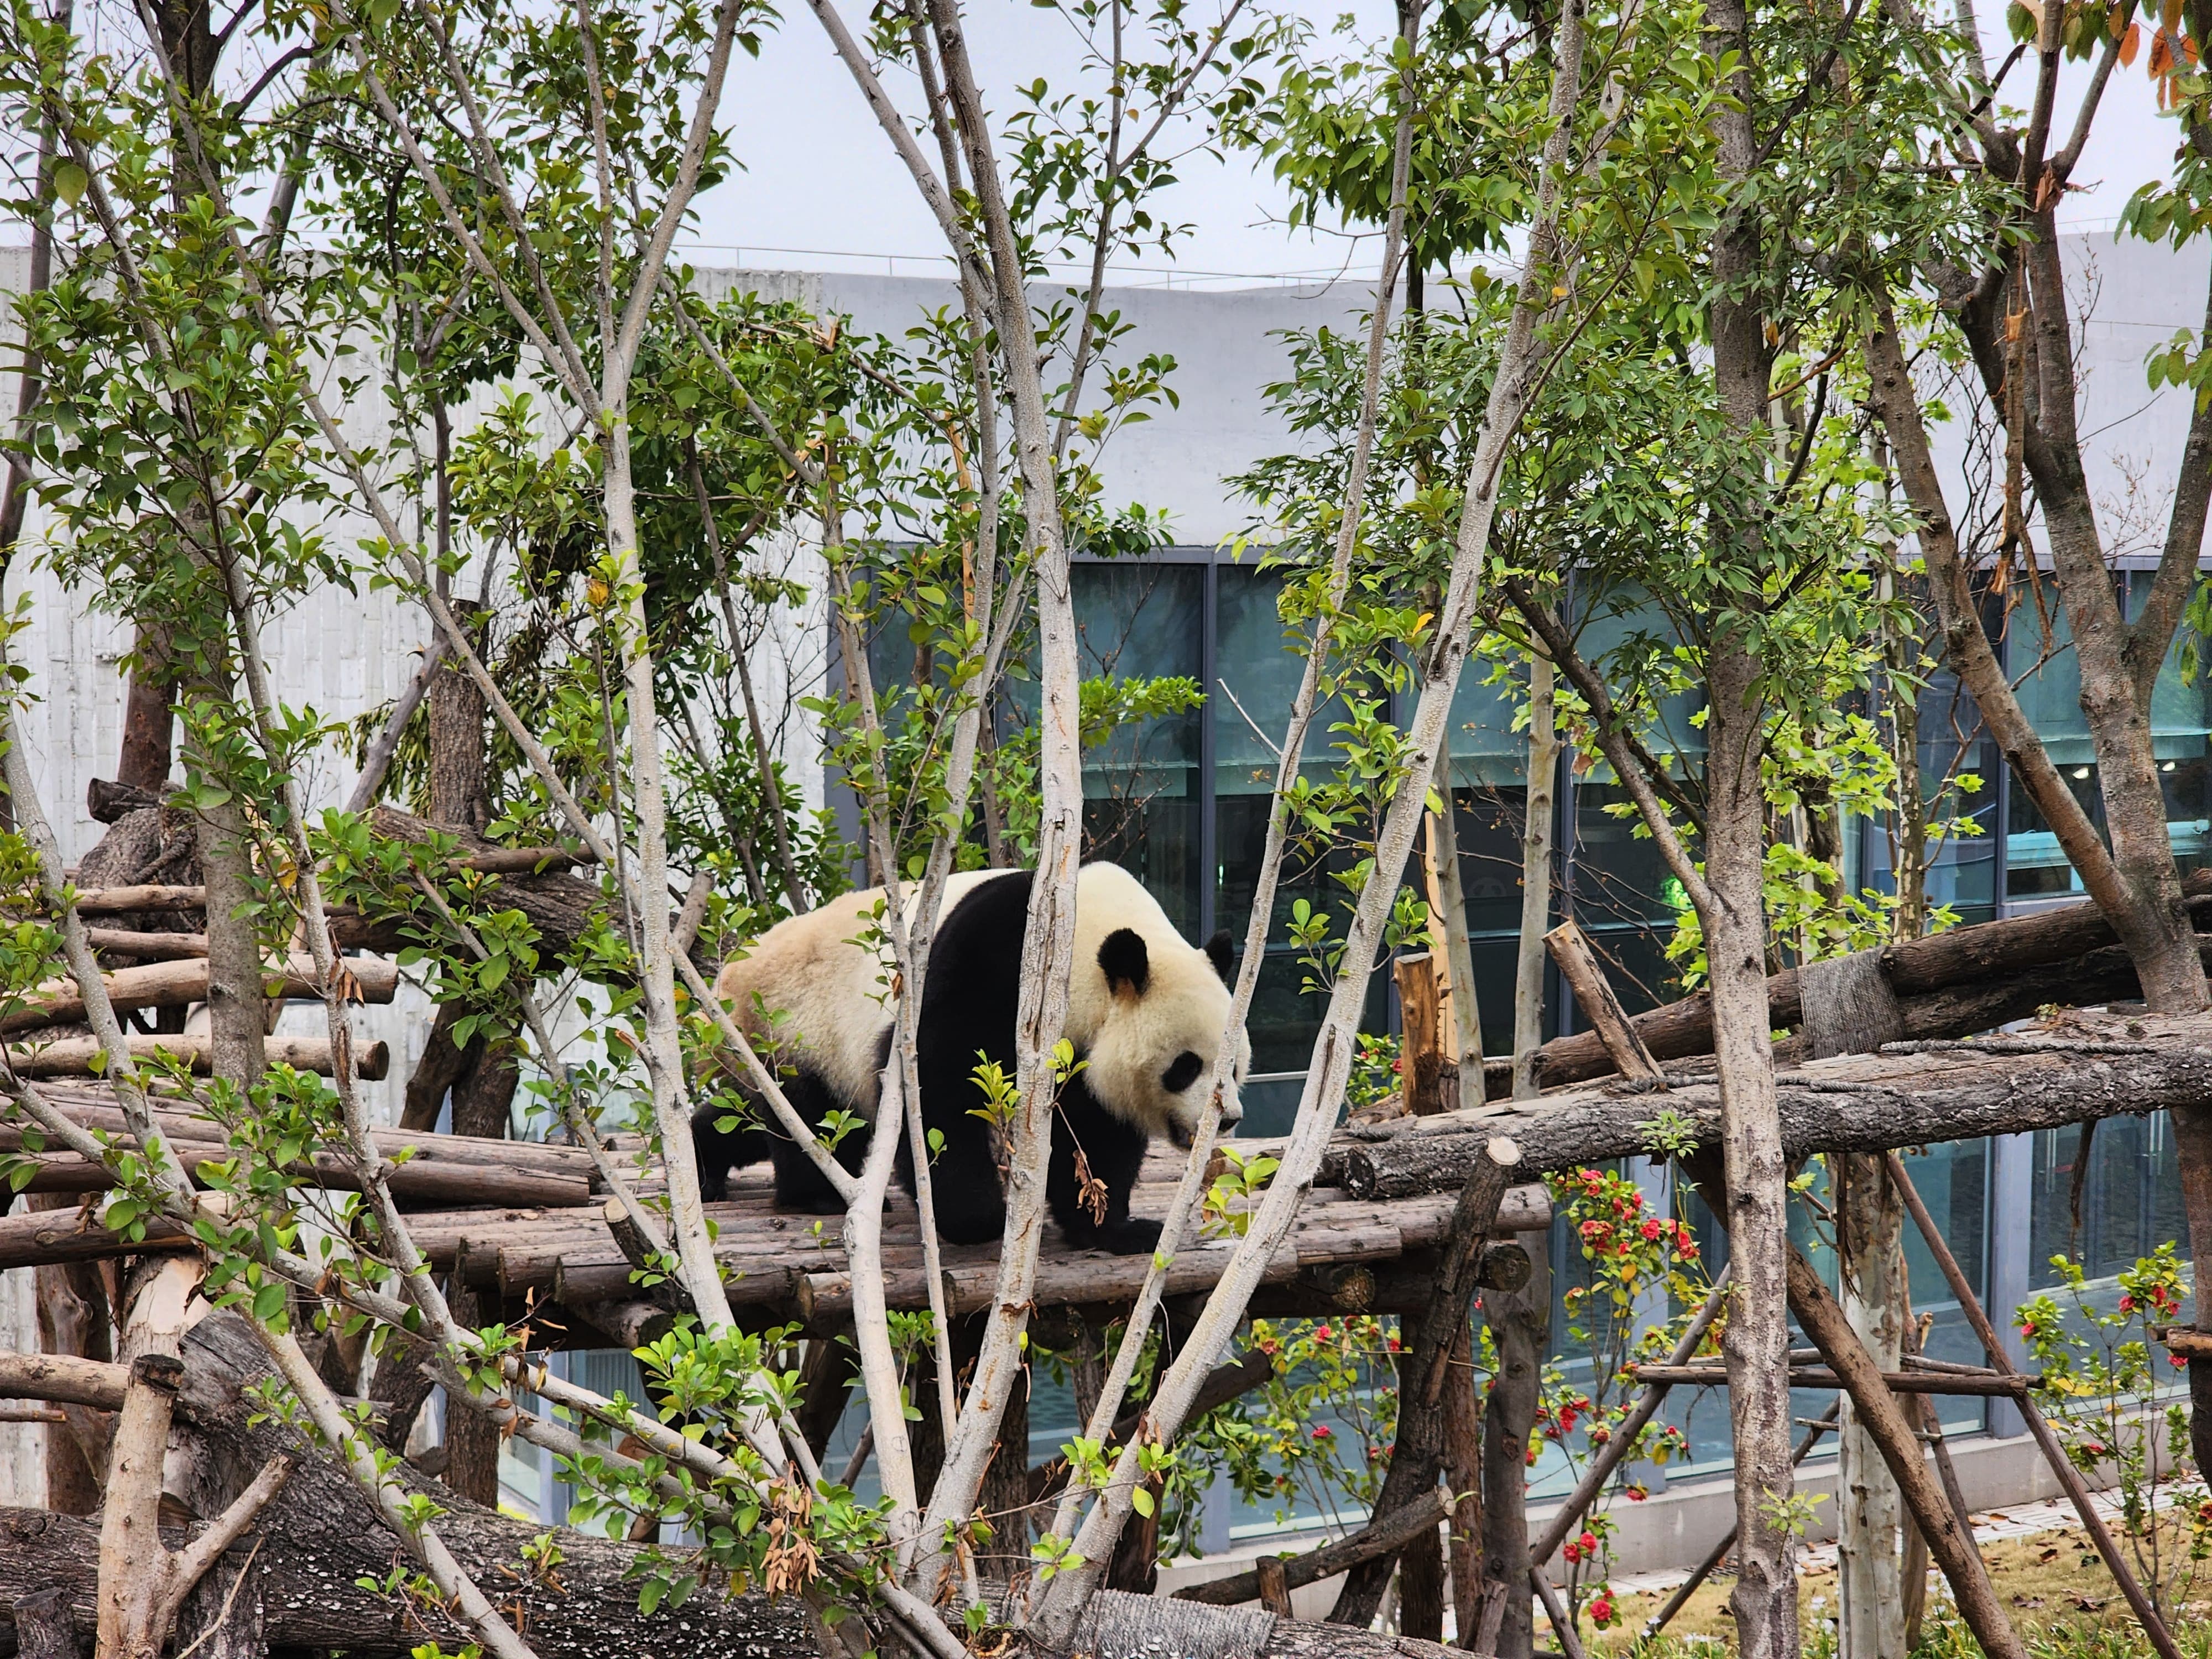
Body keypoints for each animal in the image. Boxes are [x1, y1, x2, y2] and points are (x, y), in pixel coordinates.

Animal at [692, 862, 1249, 1255]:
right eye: (1186, 1066)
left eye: (1235, 1068)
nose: (1227, 1120)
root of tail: (730, 977)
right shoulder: (997, 959)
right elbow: (938, 1081)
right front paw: (974, 1219)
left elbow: (1095, 1135)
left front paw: (1115, 1229)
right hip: (790, 1026)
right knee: (805, 1115)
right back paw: (817, 1195)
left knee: (756, 1117)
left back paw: (706, 1164)